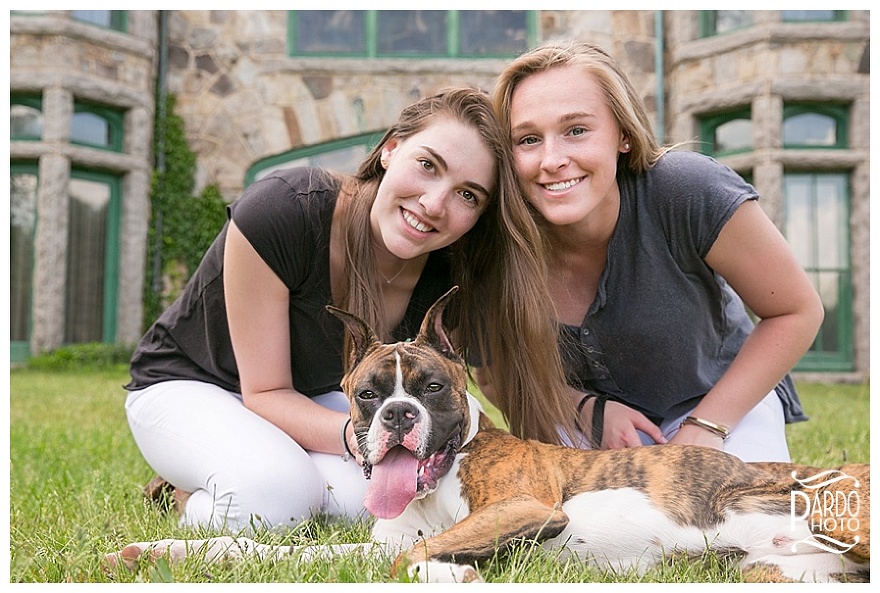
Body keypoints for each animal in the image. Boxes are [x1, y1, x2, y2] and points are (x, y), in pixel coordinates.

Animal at [103, 286, 868, 584]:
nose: (398, 416)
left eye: (433, 388)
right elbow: (277, 551)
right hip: (774, 571)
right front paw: (165, 550)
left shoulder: (526, 507)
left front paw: (452, 572)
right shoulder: (371, 543)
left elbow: (410, 560)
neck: (441, 478)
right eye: (367, 394)